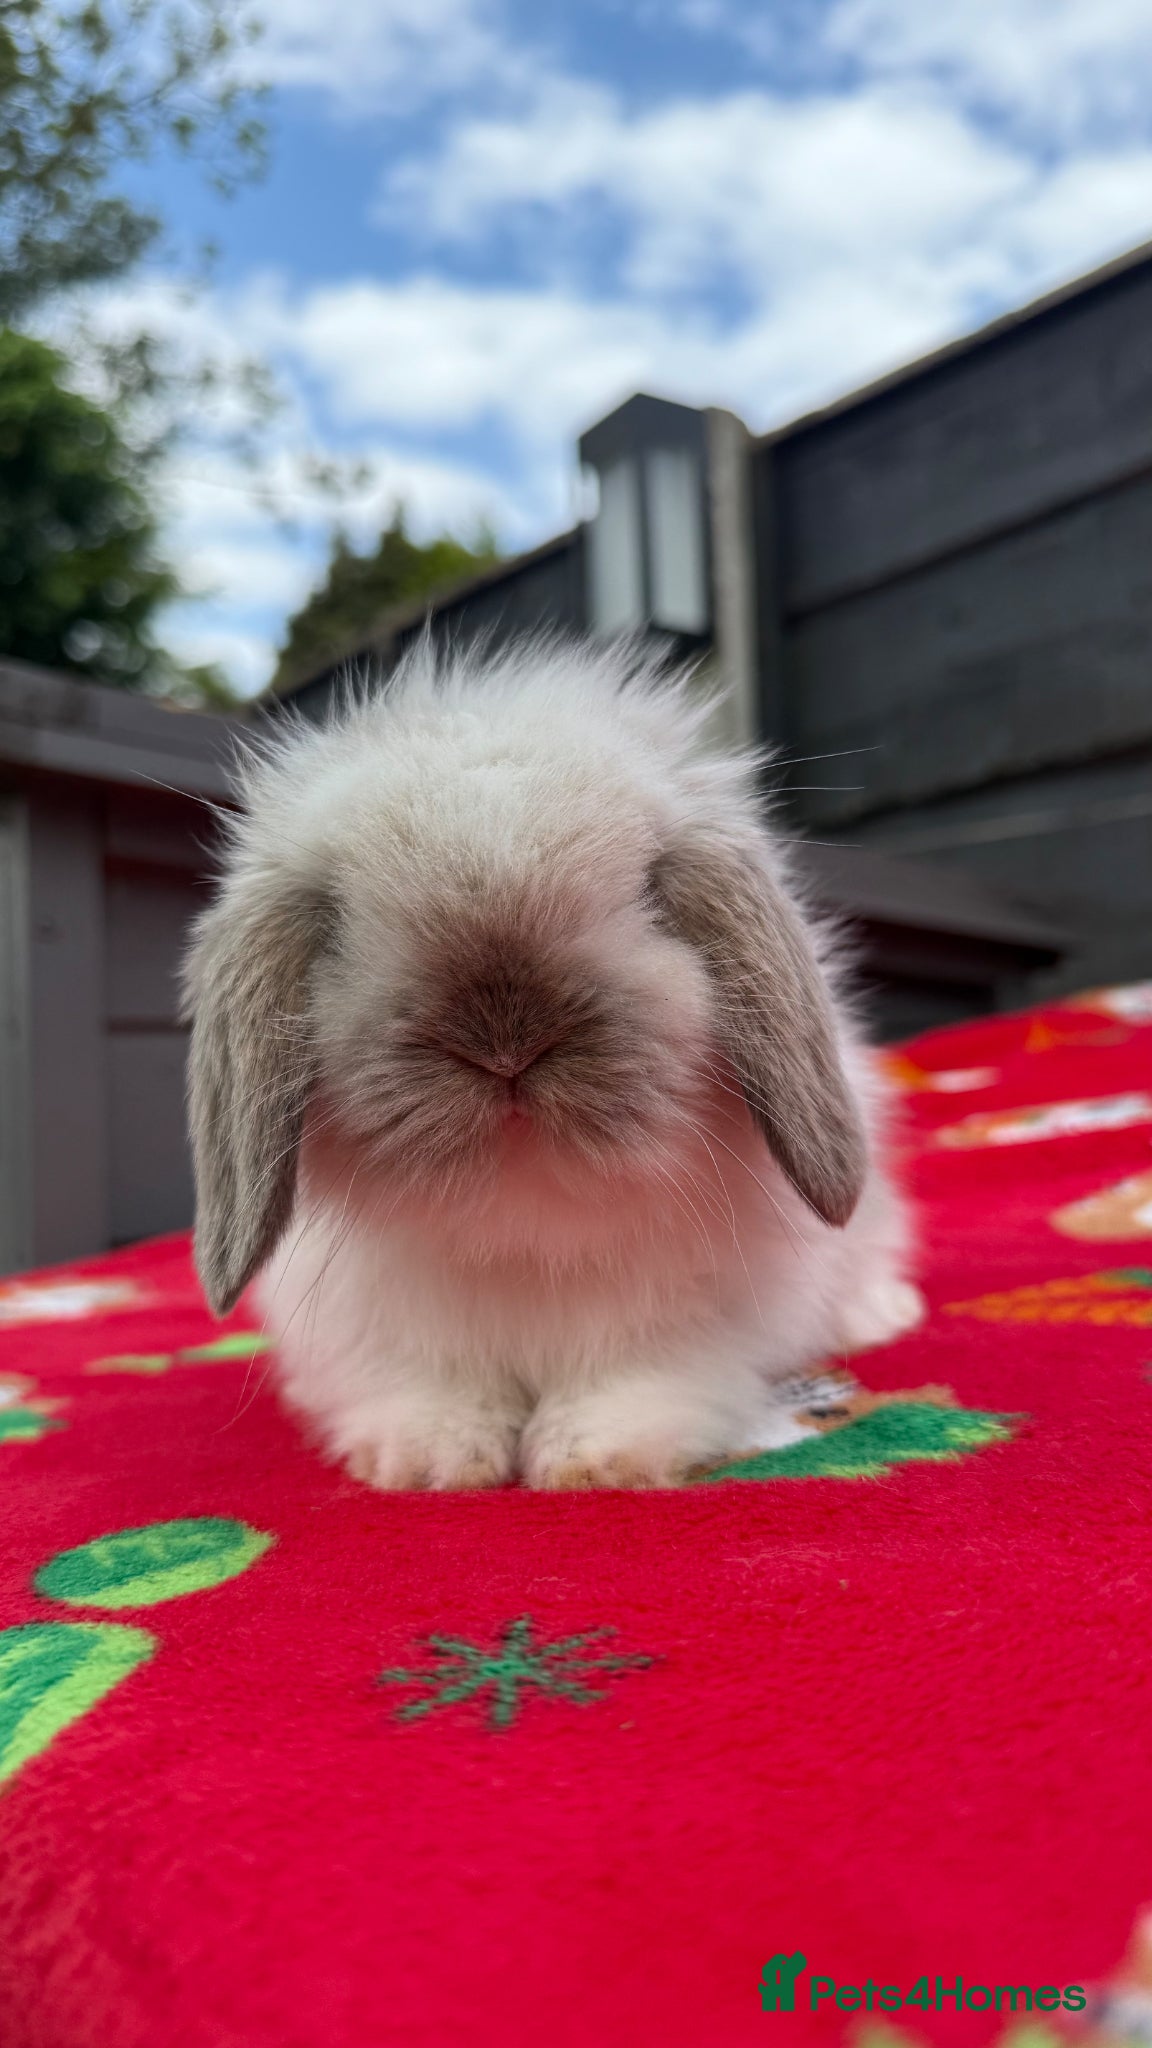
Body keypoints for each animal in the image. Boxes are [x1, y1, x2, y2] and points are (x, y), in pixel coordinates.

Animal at [184, 636, 923, 1490]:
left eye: (650, 893)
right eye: (333, 923)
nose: (505, 1042)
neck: (523, 1209)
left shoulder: (686, 1324)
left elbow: (632, 1382)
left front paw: (592, 1459)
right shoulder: (382, 1337)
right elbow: (430, 1392)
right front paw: (432, 1461)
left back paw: (881, 1315)